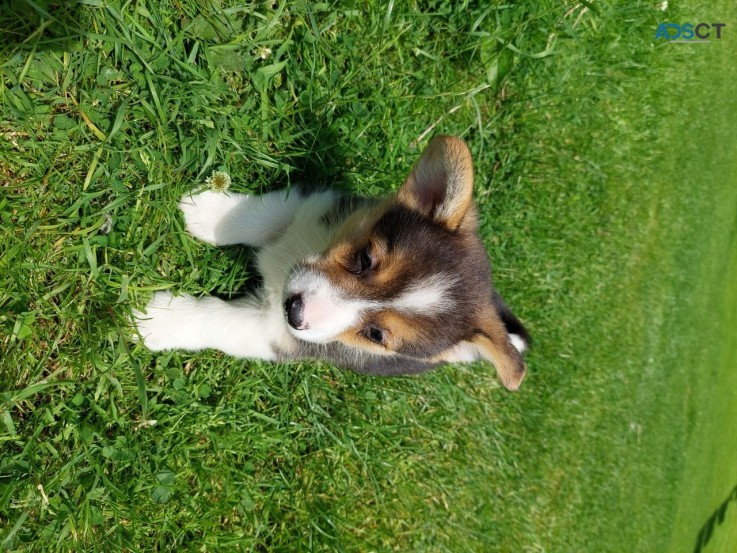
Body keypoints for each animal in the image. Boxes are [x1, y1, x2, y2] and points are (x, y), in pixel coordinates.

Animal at [135, 136, 528, 390]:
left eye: (376, 335)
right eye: (365, 258)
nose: (294, 310)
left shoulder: (275, 333)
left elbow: (217, 320)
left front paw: (158, 321)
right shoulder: (311, 204)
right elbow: (260, 215)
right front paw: (206, 212)